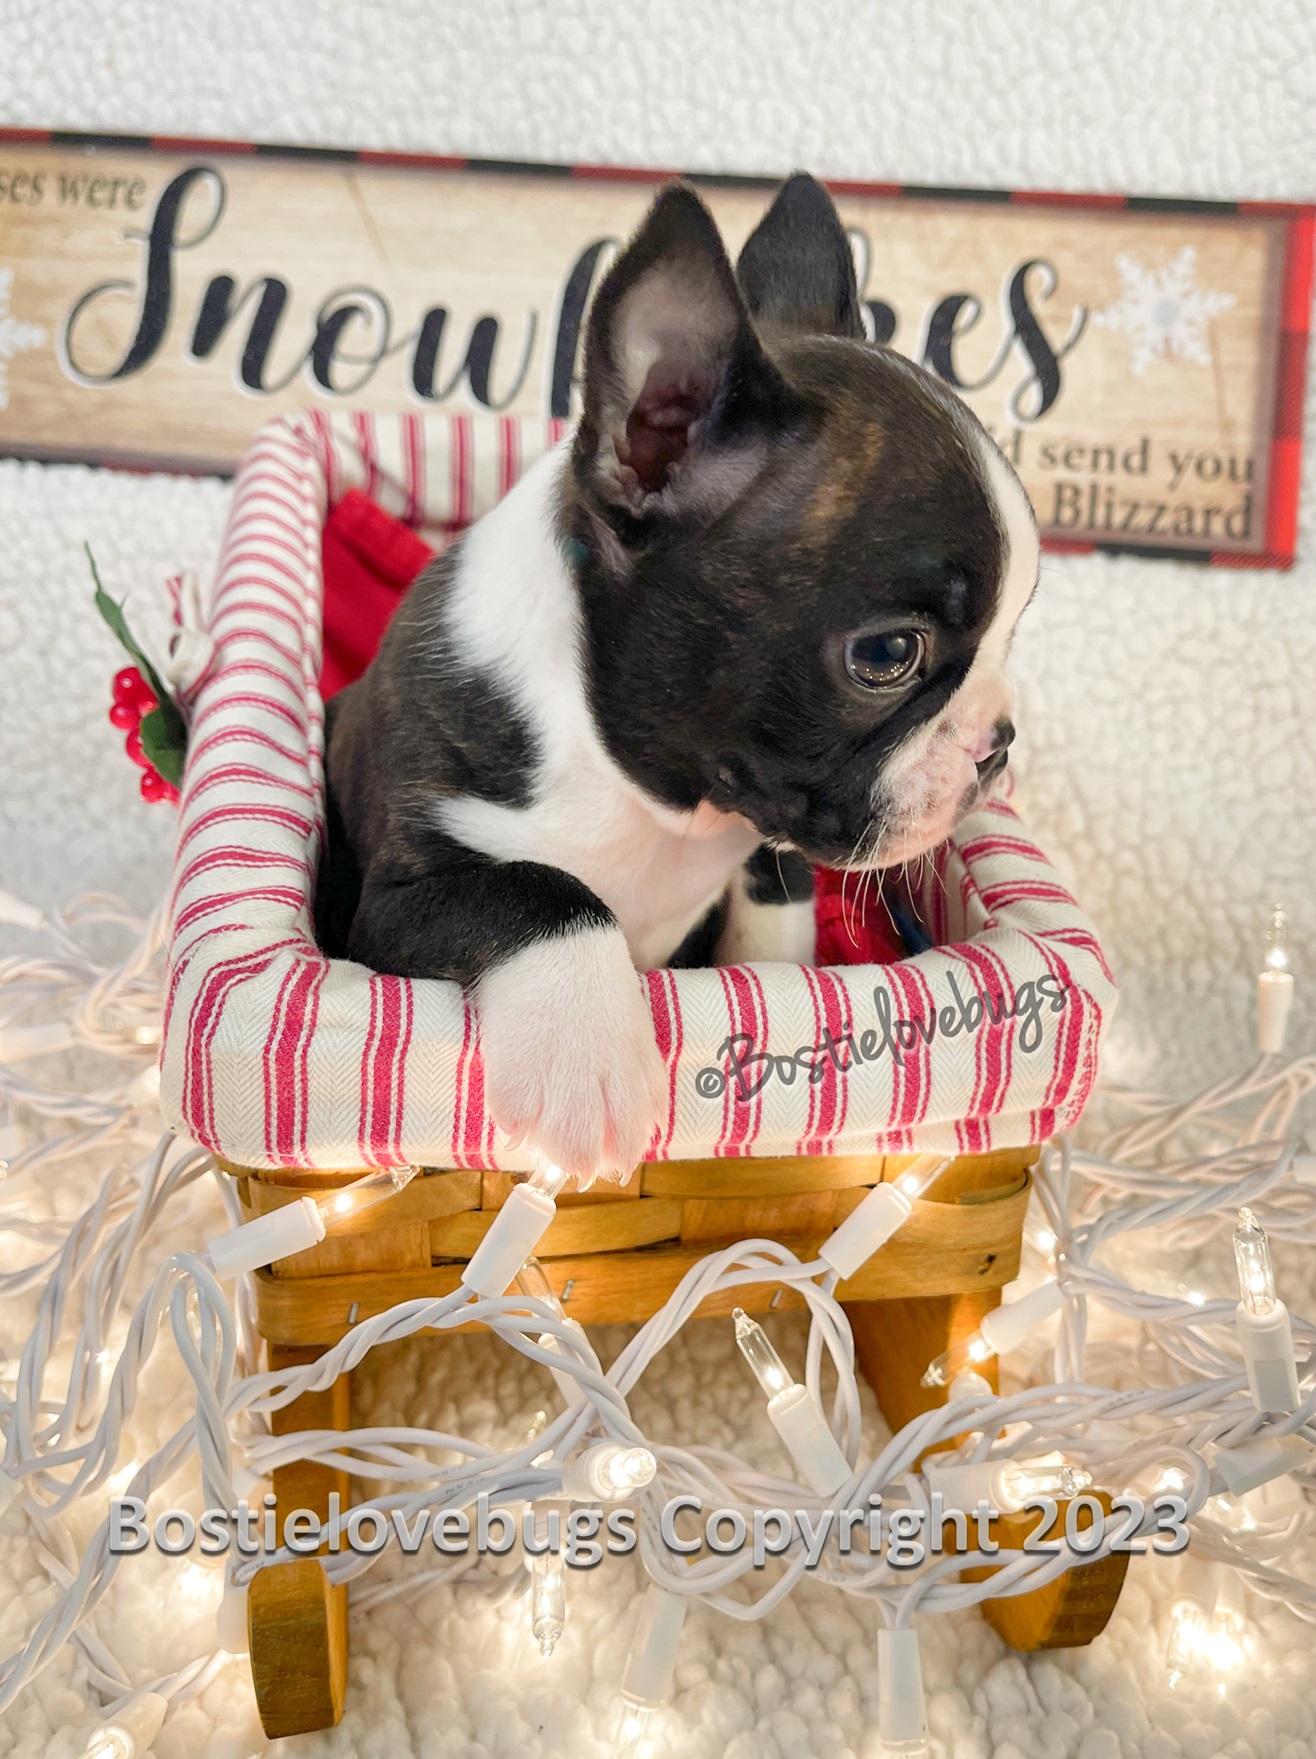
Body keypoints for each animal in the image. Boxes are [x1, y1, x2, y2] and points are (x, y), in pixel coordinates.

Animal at [316, 173, 1039, 1182]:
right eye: (888, 657)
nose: (998, 743)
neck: (645, 793)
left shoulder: (761, 835)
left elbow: (775, 899)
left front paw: (773, 972)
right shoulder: (385, 908)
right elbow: (535, 886)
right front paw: (588, 1057)